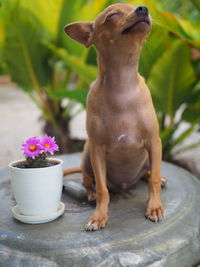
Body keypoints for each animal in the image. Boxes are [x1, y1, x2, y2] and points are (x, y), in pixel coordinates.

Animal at [64, 3, 164, 231]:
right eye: (112, 15)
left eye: (136, 6)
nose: (143, 9)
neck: (122, 86)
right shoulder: (97, 150)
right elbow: (103, 189)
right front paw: (99, 216)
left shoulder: (154, 142)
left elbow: (153, 180)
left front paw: (154, 207)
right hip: (86, 154)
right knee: (87, 180)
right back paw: (90, 194)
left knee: (149, 172)